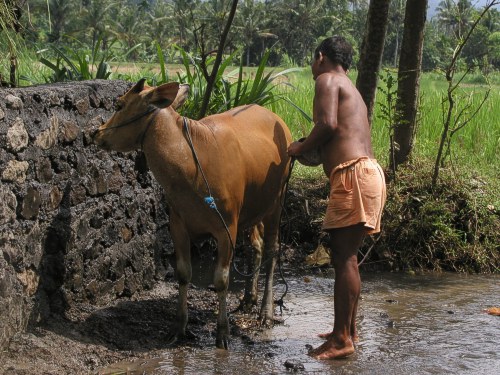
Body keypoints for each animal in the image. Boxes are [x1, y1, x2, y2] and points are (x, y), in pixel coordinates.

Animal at [93, 78, 292, 350]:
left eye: (119, 104)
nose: (96, 132)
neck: (191, 167)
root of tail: (279, 121)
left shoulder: (226, 228)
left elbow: (221, 280)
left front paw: (222, 332)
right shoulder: (178, 226)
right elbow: (183, 274)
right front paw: (179, 327)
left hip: (277, 202)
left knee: (272, 250)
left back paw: (266, 311)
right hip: (252, 210)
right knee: (257, 245)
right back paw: (248, 298)